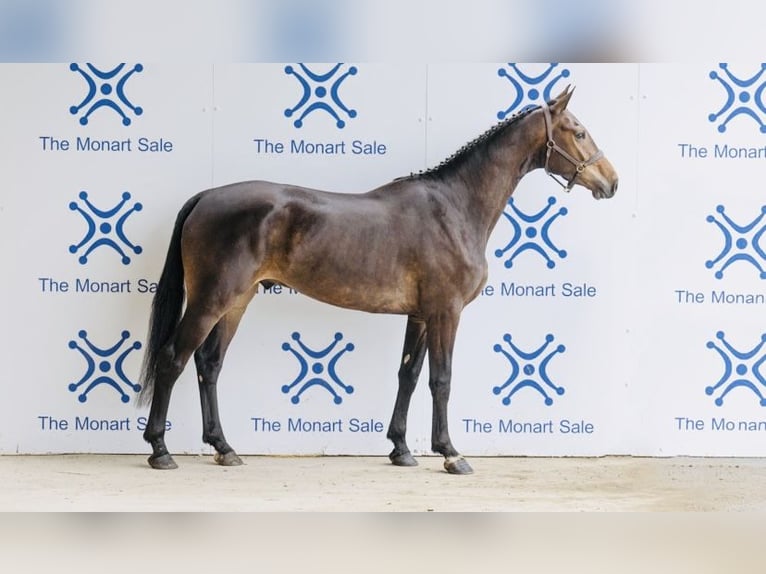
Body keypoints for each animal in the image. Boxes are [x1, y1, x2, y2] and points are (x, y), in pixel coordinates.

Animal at [138, 86, 618, 474]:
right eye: (578, 132)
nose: (611, 182)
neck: (456, 207)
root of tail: (205, 197)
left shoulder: (421, 316)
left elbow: (408, 374)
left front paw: (401, 449)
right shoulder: (446, 312)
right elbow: (441, 379)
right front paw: (451, 454)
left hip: (236, 301)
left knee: (208, 364)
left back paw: (224, 447)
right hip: (211, 299)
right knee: (173, 359)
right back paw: (160, 450)